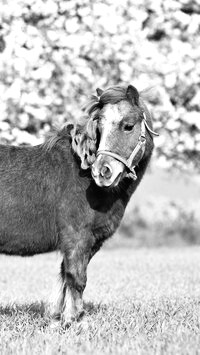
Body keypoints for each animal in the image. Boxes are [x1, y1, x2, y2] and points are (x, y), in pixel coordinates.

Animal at [0, 85, 158, 326]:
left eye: (128, 126)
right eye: (99, 127)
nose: (103, 172)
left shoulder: (90, 241)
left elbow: (65, 276)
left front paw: (58, 317)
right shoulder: (76, 237)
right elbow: (76, 278)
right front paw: (72, 321)